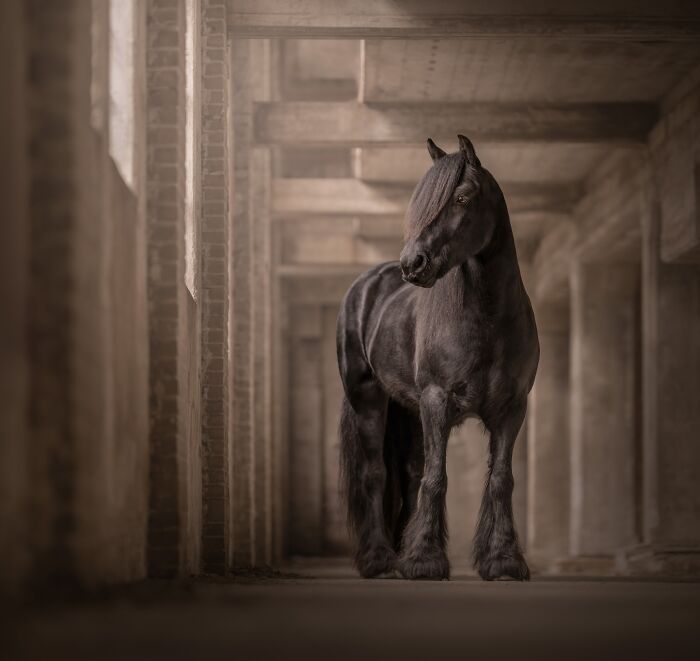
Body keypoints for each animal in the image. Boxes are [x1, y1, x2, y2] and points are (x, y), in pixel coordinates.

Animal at [336, 135, 539, 581]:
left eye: (462, 197)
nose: (413, 264)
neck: (486, 319)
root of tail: (366, 285)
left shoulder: (512, 409)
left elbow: (501, 479)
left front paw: (503, 560)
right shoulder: (436, 401)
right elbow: (436, 478)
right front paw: (425, 561)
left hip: (410, 410)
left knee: (410, 473)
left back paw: (397, 551)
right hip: (370, 400)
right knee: (375, 473)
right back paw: (380, 559)